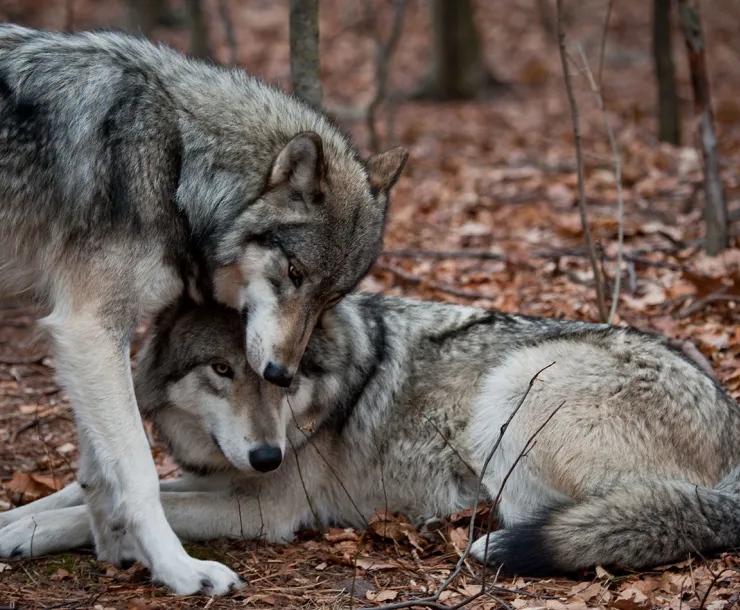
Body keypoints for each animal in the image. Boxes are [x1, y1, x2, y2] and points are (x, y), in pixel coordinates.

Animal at [0, 25, 407, 594]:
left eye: (331, 297)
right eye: (294, 273)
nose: (281, 374)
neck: (176, 163)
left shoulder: (88, 336)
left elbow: (97, 472)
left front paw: (110, 546)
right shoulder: (88, 325)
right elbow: (139, 472)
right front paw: (178, 569)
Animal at [2, 294, 739, 575]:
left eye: (282, 374)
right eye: (222, 369)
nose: (267, 456)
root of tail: (730, 420)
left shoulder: (262, 509)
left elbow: (102, 511)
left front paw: (29, 536)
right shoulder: (222, 478)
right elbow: (77, 494)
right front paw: (16, 518)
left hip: (516, 388)